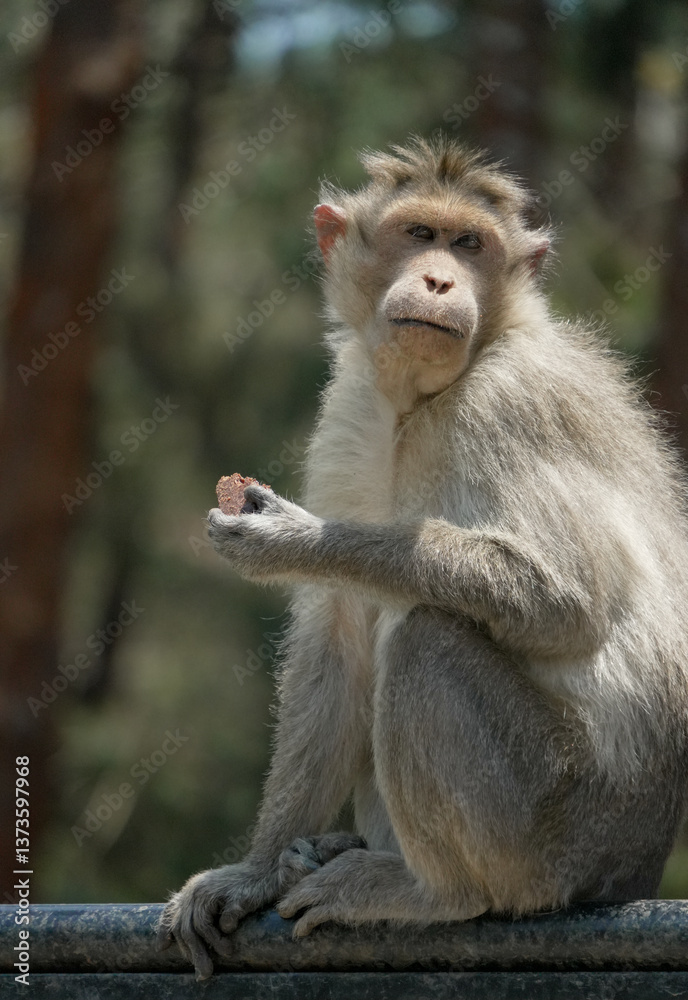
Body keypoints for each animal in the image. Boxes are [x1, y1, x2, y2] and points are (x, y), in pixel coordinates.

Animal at [158, 136, 688, 980]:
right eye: (418, 234)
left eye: (469, 244)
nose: (440, 279)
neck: (425, 397)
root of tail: (633, 872)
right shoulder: (350, 405)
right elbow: (339, 635)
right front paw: (251, 872)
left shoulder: (508, 404)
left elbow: (567, 601)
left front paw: (297, 540)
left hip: (561, 831)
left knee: (424, 640)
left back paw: (432, 892)